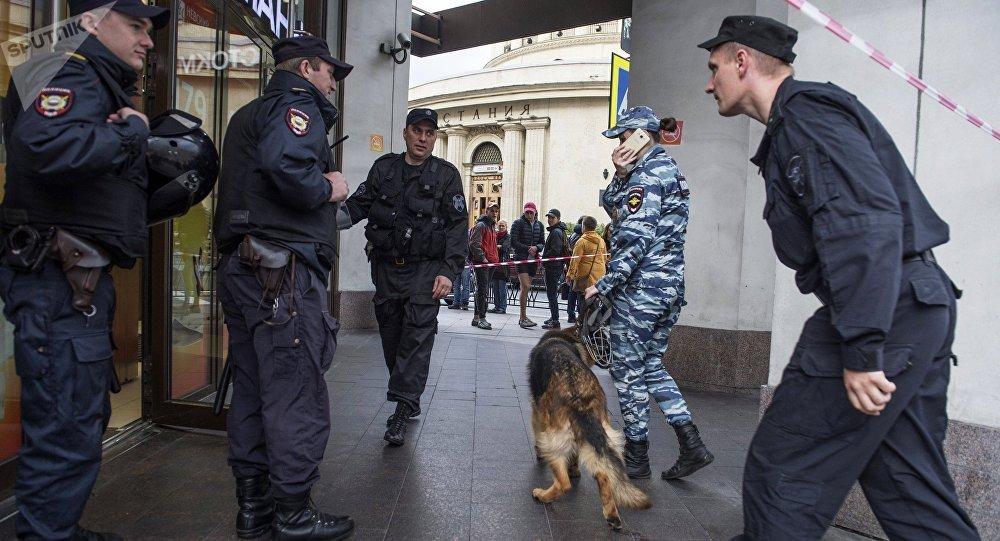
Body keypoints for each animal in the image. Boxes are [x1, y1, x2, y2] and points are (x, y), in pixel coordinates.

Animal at [528, 324, 652, 528]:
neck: (568, 337)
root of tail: (580, 399)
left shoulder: (537, 413)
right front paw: (575, 469)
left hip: (553, 439)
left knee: (564, 484)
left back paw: (543, 495)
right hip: (604, 437)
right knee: (604, 473)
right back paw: (611, 514)